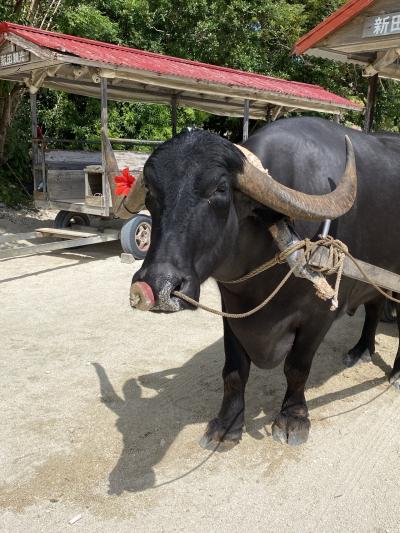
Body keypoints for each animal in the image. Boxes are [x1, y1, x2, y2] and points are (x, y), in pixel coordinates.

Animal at [130, 117, 398, 444]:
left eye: (220, 189)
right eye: (150, 193)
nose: (159, 286)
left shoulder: (320, 315)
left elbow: (297, 367)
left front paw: (292, 419)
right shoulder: (232, 309)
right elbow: (234, 370)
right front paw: (228, 424)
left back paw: (396, 374)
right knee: (374, 307)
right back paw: (361, 350)